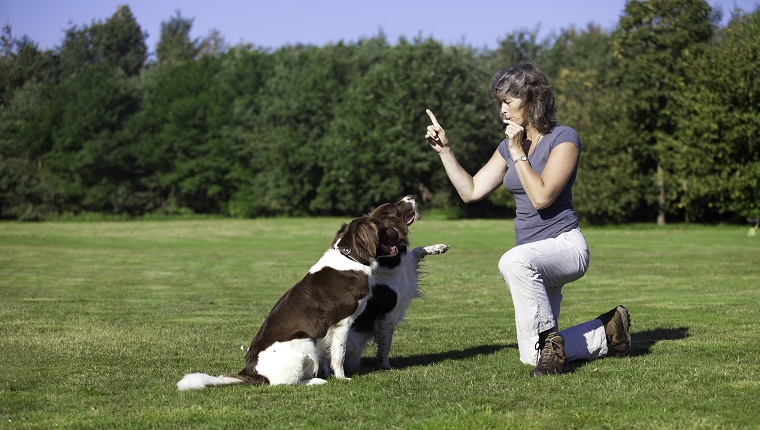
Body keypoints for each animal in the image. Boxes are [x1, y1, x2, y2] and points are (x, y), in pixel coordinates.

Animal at [177, 215, 410, 390]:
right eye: (383, 228)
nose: (402, 235)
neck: (350, 258)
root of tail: (252, 371)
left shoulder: (324, 330)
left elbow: (325, 354)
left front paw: (328, 373)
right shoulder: (342, 323)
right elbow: (338, 354)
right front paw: (341, 377)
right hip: (303, 342)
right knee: (283, 383)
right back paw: (315, 381)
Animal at [346, 196, 448, 372]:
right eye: (394, 206)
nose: (411, 196)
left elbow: (417, 250)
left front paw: (438, 247)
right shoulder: (388, 315)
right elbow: (386, 344)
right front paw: (385, 366)